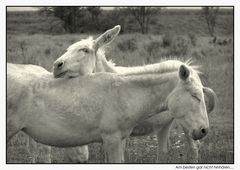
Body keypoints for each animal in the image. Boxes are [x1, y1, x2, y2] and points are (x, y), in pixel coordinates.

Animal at [53, 24, 218, 162]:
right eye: (67, 50)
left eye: (85, 50)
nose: (56, 66)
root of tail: (187, 65)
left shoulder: (119, 134)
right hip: (165, 124)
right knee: (163, 151)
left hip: (187, 124)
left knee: (194, 147)